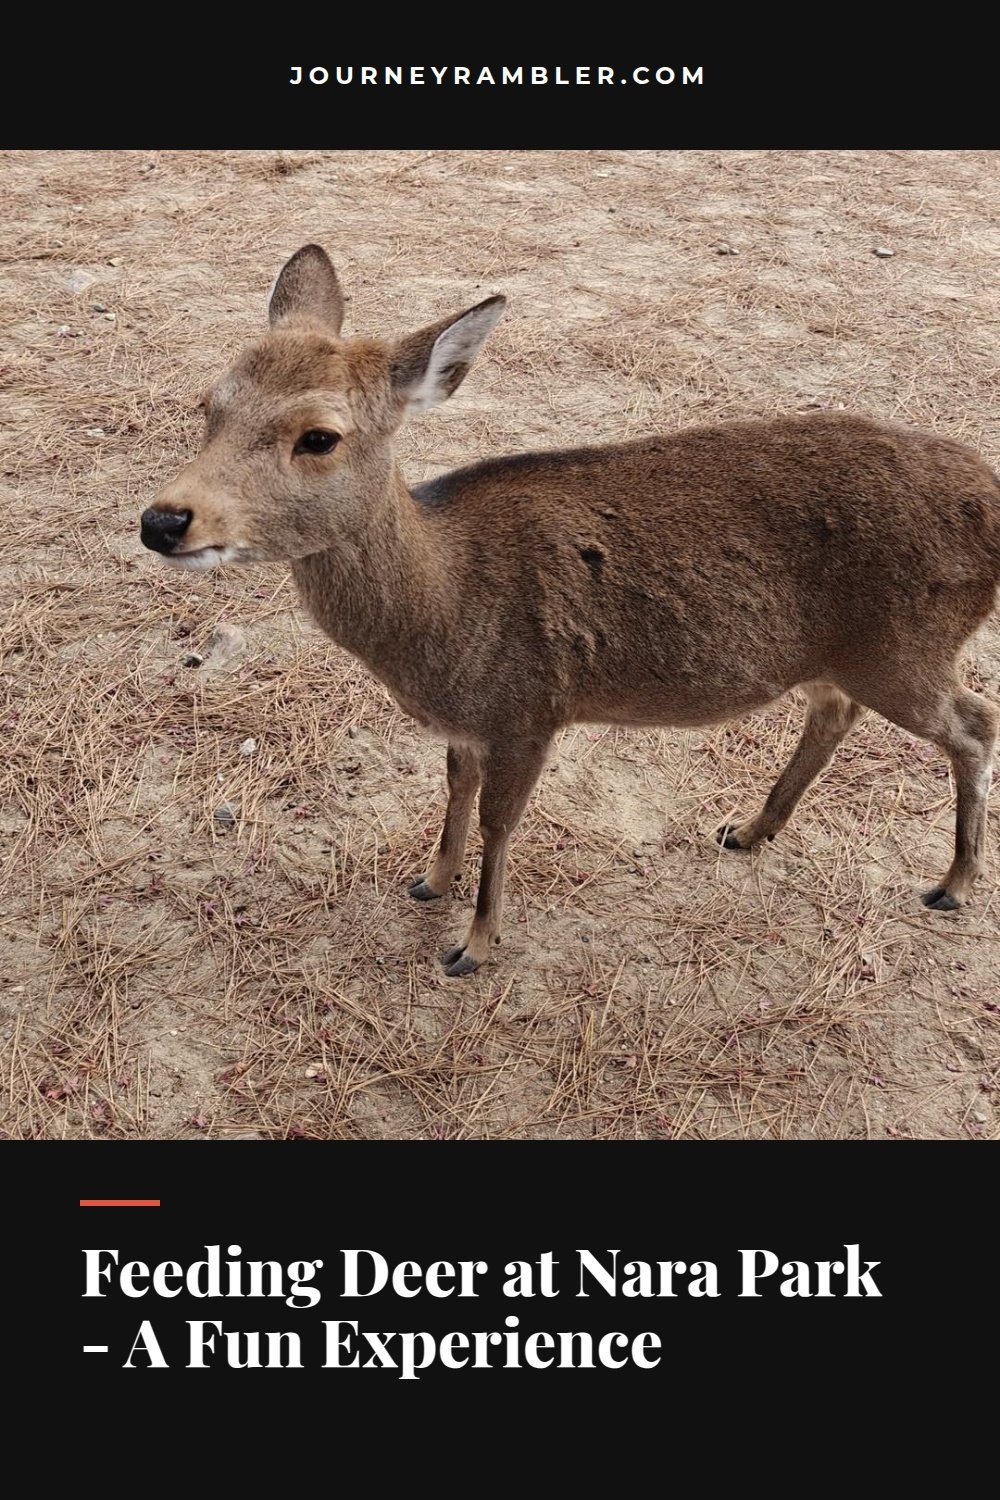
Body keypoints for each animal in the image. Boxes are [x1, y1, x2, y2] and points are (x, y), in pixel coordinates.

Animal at [140, 244, 1000, 976]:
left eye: (319, 436)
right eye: (209, 403)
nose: (163, 520)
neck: (443, 616)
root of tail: (990, 497)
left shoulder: (529, 707)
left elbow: (500, 821)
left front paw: (473, 946)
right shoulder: (470, 722)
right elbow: (454, 789)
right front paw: (430, 881)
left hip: (907, 645)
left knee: (974, 721)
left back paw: (951, 884)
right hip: (840, 654)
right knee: (836, 711)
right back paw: (750, 830)